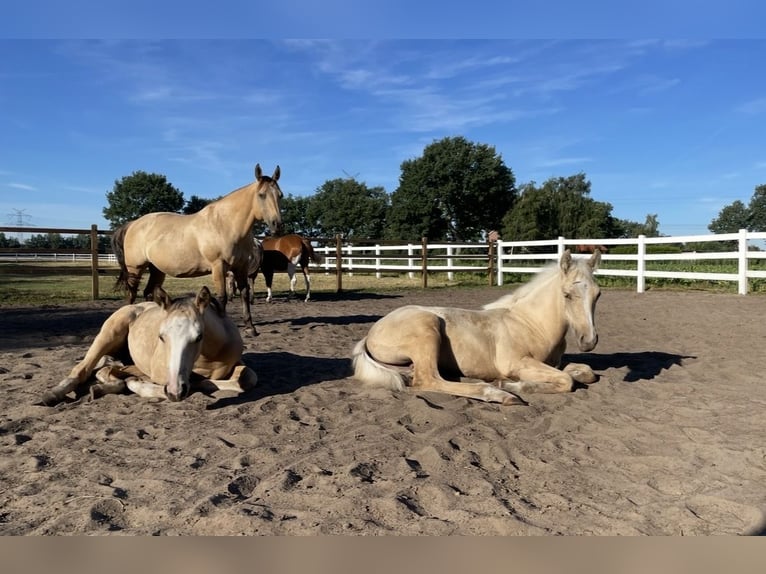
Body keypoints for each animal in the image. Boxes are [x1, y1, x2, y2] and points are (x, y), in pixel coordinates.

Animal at [40, 286, 257, 406]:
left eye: (199, 336)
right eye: (161, 337)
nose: (176, 392)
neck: (208, 359)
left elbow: (246, 378)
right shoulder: (161, 374)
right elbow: (194, 384)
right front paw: (141, 386)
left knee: (106, 369)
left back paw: (104, 387)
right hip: (107, 335)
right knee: (83, 369)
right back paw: (52, 394)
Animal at [111, 163, 284, 336]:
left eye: (280, 195)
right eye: (261, 195)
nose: (277, 225)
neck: (225, 224)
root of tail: (132, 224)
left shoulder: (241, 267)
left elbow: (244, 294)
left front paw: (250, 327)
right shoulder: (218, 266)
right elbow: (222, 297)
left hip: (157, 270)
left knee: (148, 292)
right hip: (135, 268)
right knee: (131, 294)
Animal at [351, 249, 602, 405]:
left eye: (598, 294)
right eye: (567, 294)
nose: (588, 341)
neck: (531, 324)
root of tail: (373, 331)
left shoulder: (553, 363)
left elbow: (586, 373)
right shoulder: (518, 363)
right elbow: (567, 380)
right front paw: (510, 385)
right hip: (427, 329)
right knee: (427, 380)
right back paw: (498, 394)